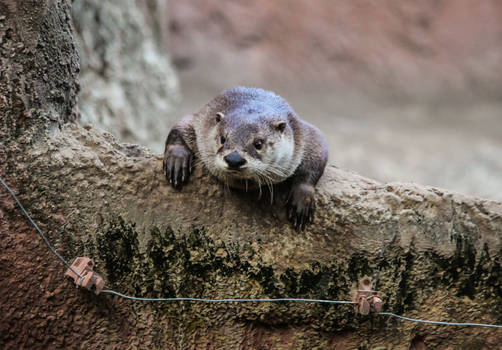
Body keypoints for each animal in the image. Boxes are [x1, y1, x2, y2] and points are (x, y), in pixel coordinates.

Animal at [162, 87, 330, 230]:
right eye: (223, 138)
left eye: (258, 143)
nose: (234, 159)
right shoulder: (201, 121)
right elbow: (180, 126)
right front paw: (176, 161)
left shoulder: (303, 133)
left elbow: (315, 156)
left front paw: (301, 200)